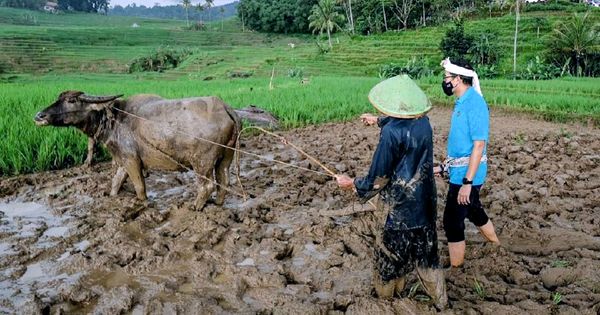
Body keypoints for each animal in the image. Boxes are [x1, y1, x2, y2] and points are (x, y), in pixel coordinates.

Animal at [34, 90, 246, 210]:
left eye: (71, 100)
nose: (39, 116)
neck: (115, 119)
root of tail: (224, 107)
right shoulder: (122, 160)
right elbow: (116, 182)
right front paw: (112, 196)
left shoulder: (132, 160)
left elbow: (139, 187)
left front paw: (142, 203)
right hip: (225, 157)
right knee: (224, 180)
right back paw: (218, 203)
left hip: (202, 162)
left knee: (207, 185)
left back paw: (195, 206)